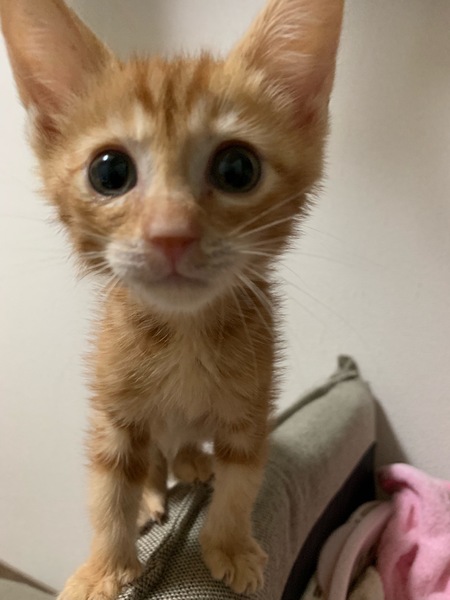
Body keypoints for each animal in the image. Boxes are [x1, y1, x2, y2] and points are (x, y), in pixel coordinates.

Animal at [0, 0, 343, 597]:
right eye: (110, 170)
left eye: (237, 168)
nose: (170, 233)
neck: (183, 335)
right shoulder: (114, 411)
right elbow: (109, 490)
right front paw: (103, 568)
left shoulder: (251, 410)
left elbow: (240, 483)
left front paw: (228, 545)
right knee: (152, 462)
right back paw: (155, 495)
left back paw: (192, 463)